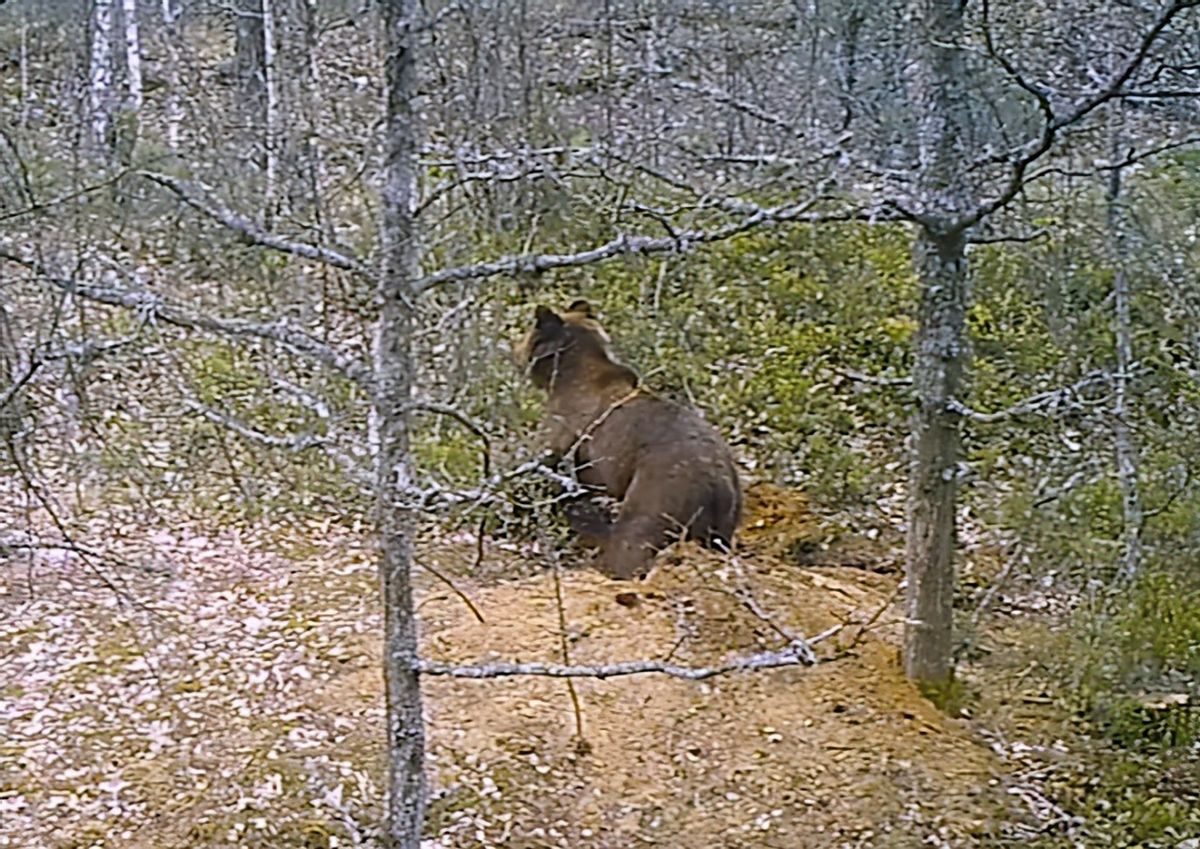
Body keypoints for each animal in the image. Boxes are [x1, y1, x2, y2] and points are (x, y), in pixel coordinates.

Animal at [516, 299, 739, 582]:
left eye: (528, 332)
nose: (515, 352)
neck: (568, 373)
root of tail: (716, 482)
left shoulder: (567, 421)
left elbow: (543, 458)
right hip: (726, 519)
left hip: (660, 489)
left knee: (634, 536)